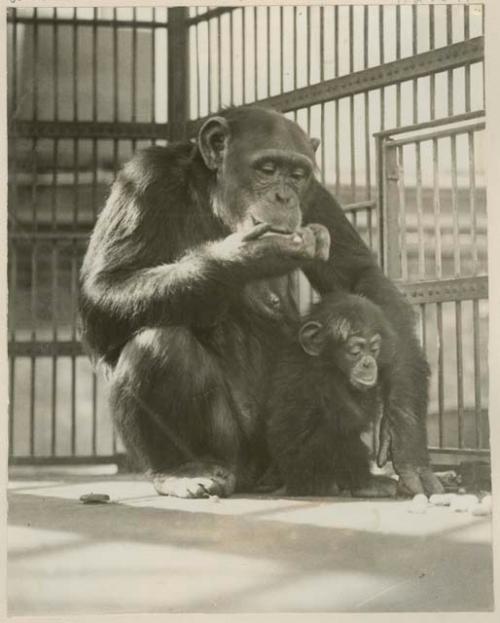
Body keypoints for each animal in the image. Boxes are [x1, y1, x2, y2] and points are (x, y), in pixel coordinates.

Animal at [266, 292, 398, 498]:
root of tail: (290, 485)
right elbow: (352, 417)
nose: (368, 363)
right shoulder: (324, 381)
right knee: (335, 431)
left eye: (374, 349)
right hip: (306, 472)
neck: (328, 362)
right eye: (355, 351)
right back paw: (364, 484)